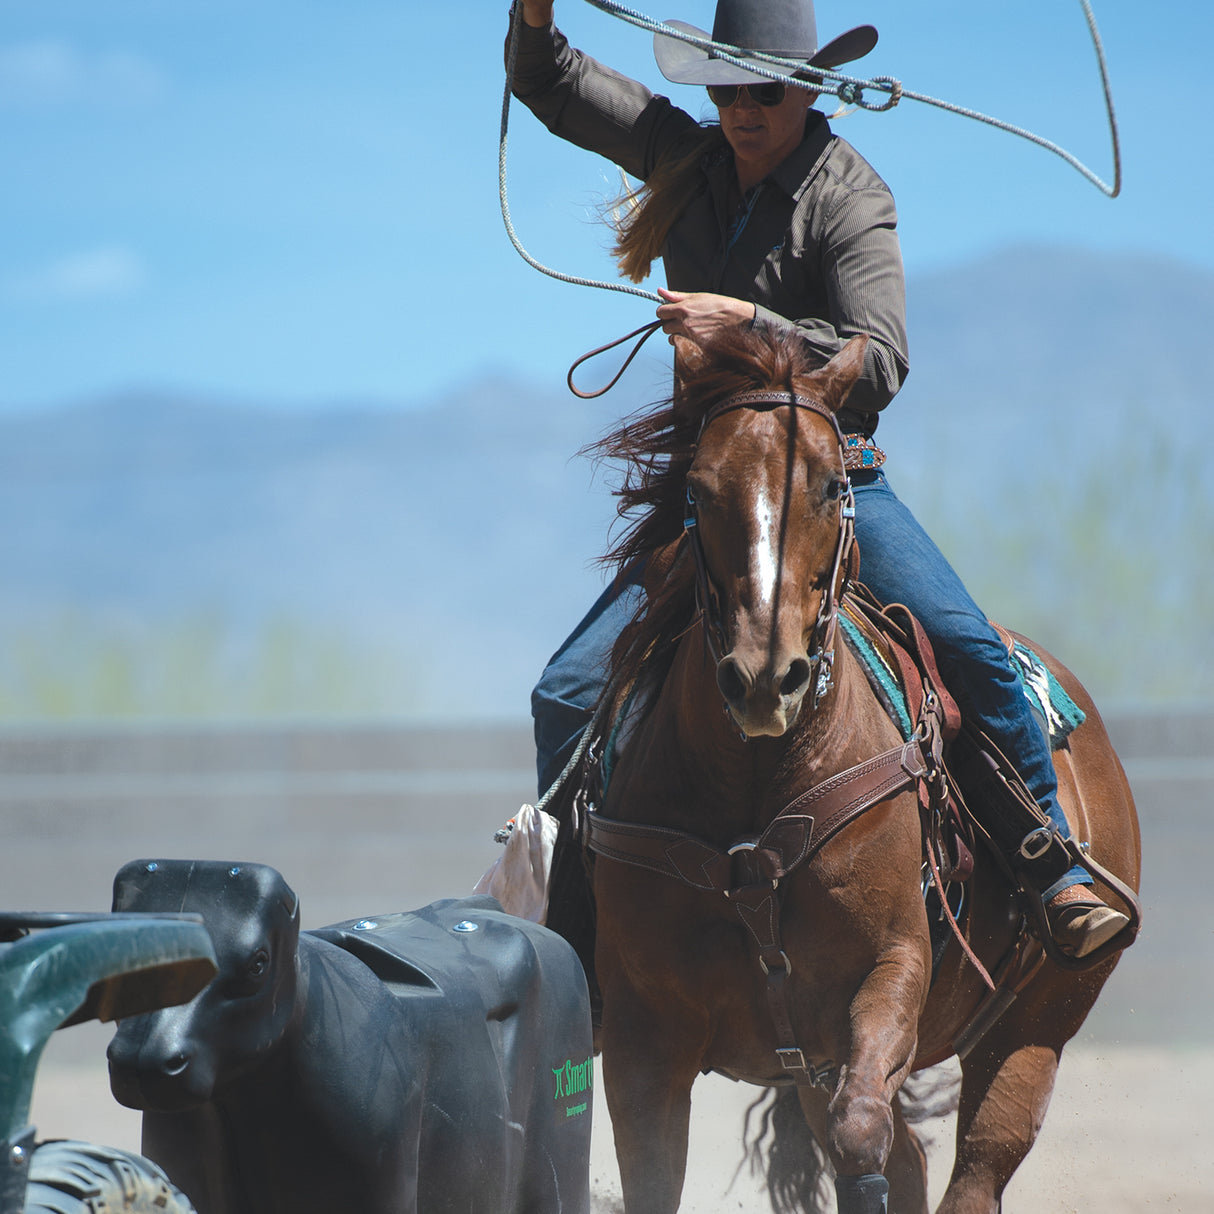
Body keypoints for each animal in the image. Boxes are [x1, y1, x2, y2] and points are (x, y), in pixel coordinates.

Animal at [573, 325, 1141, 1214]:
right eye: (697, 490)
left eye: (834, 482)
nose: (765, 677)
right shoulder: (642, 1033)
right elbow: (656, 1176)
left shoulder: (889, 974)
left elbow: (862, 1132)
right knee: (906, 1159)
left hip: (1037, 1027)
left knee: (972, 1163)